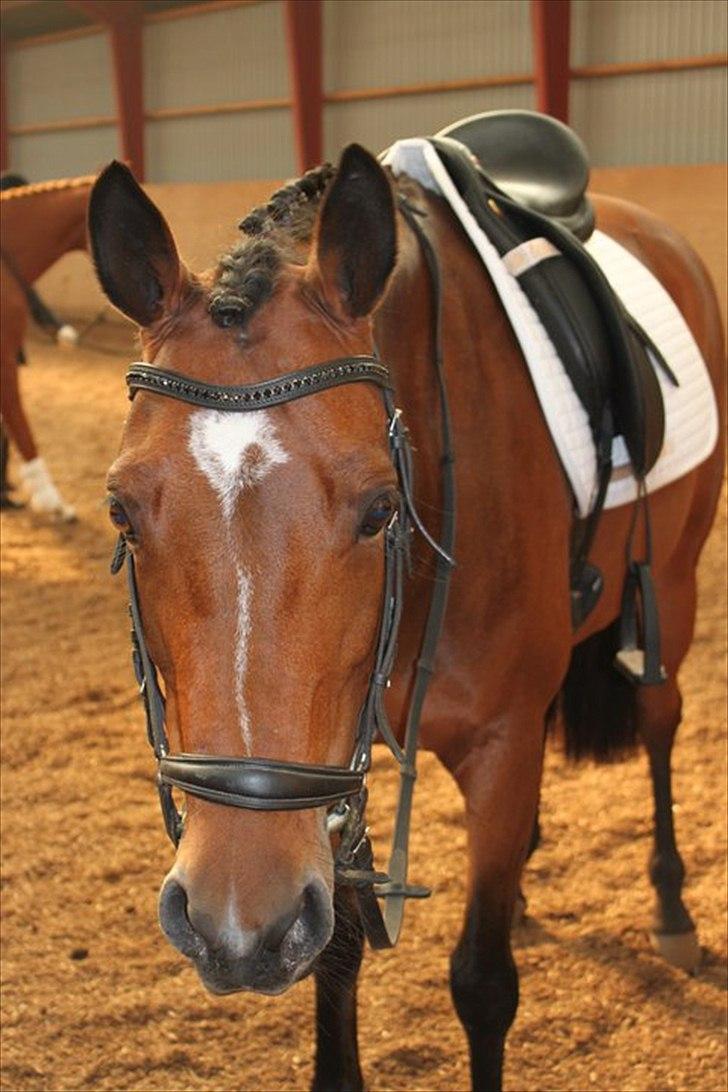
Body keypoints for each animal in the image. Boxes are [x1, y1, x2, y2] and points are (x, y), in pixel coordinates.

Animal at [88, 138, 724, 1091]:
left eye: (381, 509)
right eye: (122, 512)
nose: (235, 926)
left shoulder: (499, 746)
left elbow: (484, 985)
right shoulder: (332, 775)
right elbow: (337, 959)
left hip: (671, 588)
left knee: (657, 717)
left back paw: (673, 906)